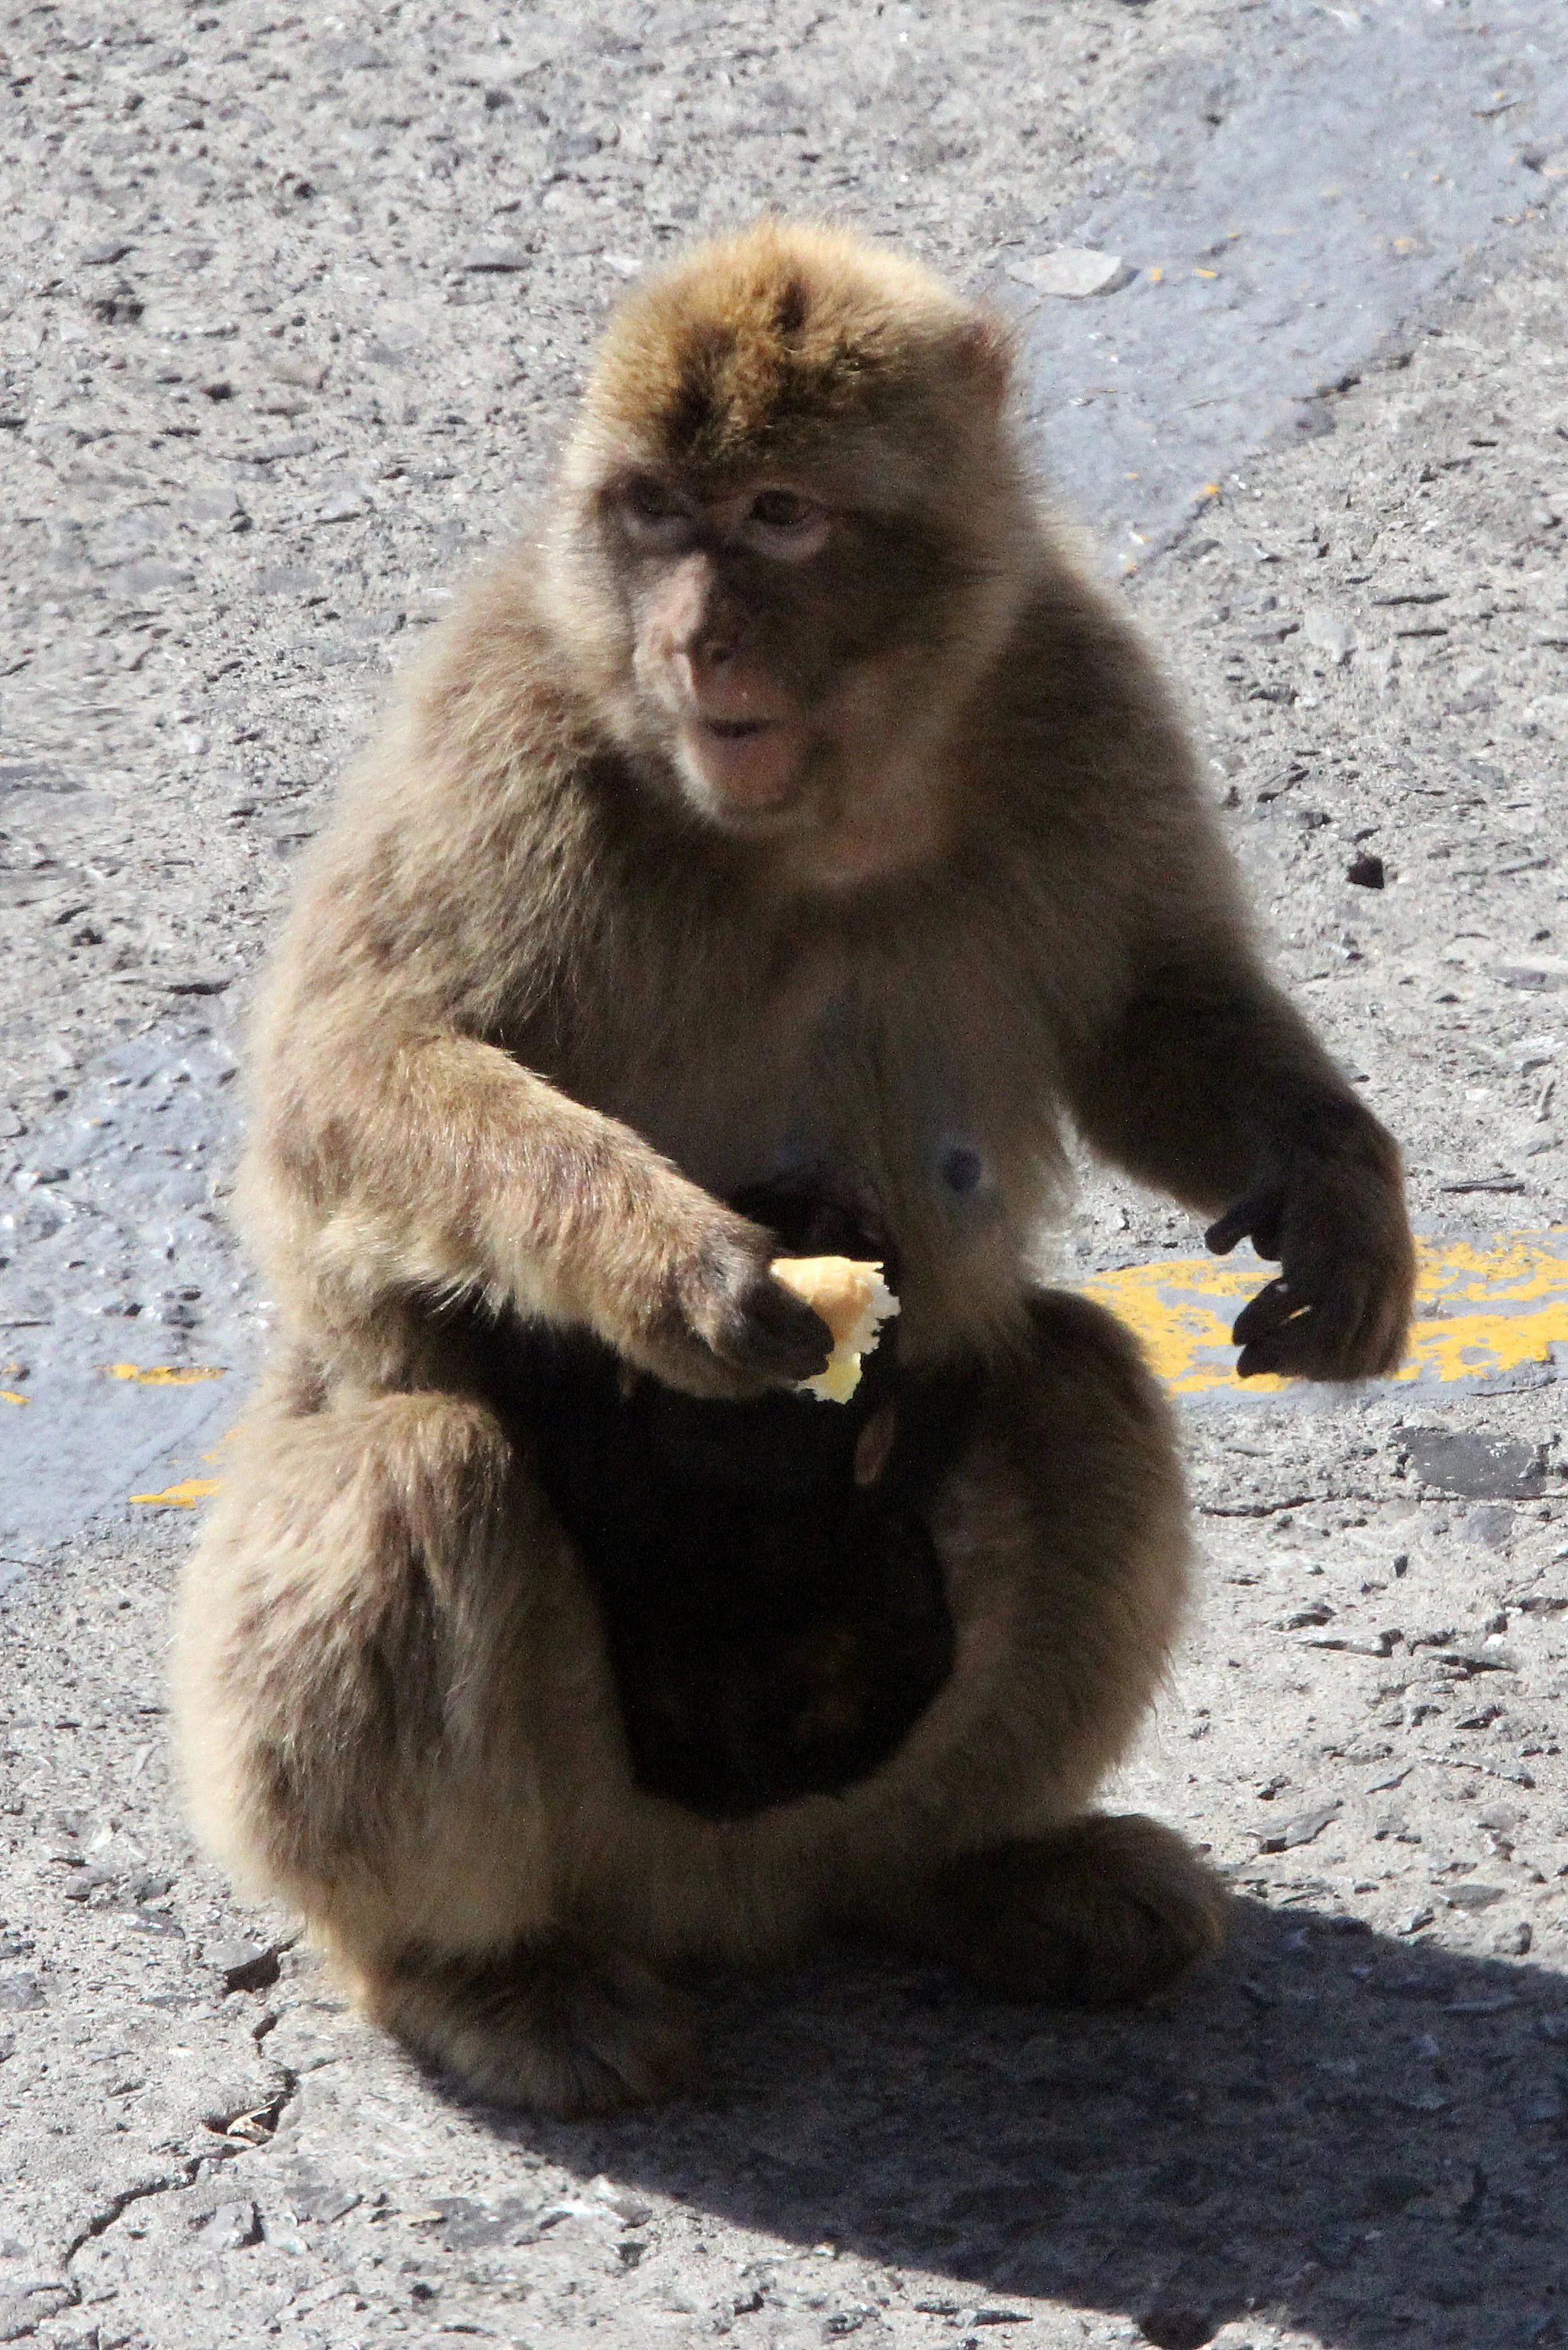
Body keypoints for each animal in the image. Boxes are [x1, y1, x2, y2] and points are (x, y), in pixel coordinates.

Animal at [172, 220, 1415, 2117]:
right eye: (654, 516)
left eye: (774, 515)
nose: (693, 639)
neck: (826, 817)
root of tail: (737, 1899)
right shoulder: (508, 737)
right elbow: (347, 1089)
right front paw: (676, 1270)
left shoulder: (1077, 690)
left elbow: (1153, 1011)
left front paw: (1342, 1197)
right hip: (586, 1805)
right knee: (419, 1469)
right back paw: (477, 1970)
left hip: (859, 1750)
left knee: (1075, 1378)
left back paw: (974, 1867)